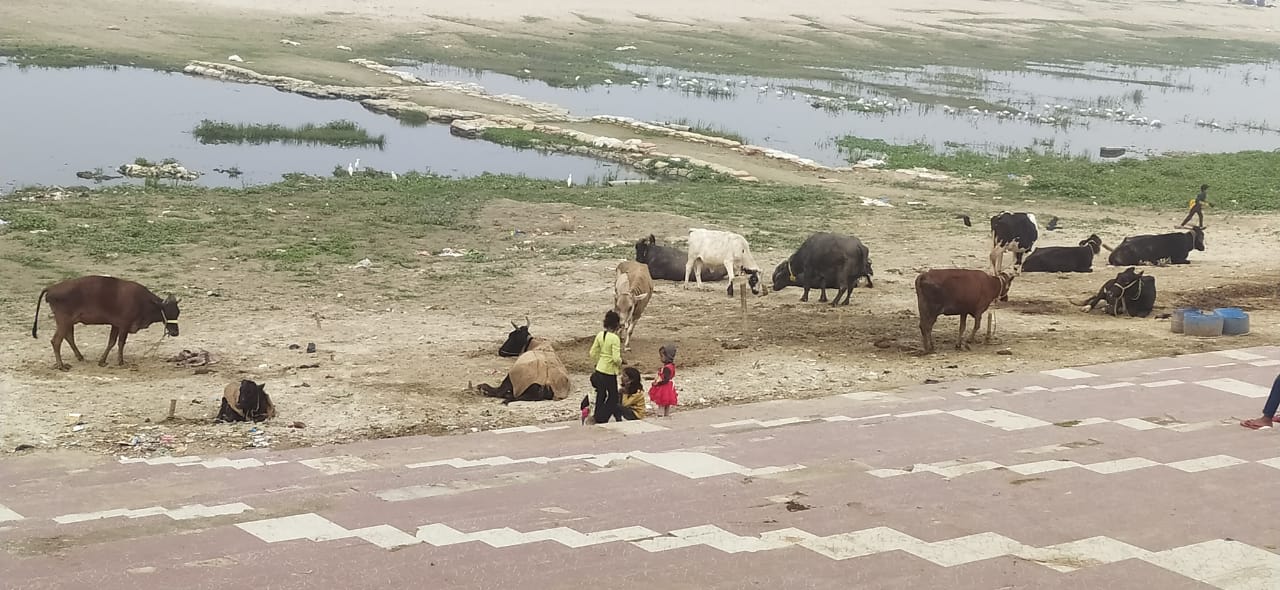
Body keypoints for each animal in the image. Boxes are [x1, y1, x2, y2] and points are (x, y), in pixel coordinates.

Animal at [33, 275, 181, 368]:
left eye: (178, 312)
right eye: (168, 312)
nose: (175, 332)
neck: (144, 302)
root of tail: (51, 288)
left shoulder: (115, 325)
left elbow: (111, 342)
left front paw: (102, 361)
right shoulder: (124, 325)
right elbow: (120, 343)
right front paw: (121, 361)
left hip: (68, 322)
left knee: (68, 337)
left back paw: (79, 357)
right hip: (64, 321)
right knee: (56, 341)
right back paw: (61, 365)